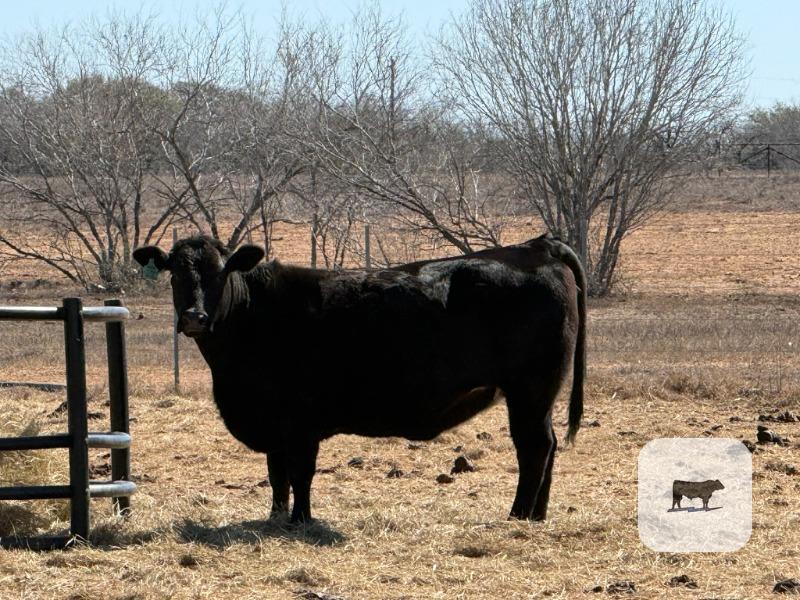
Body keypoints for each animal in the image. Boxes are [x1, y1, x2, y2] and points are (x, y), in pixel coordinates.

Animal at [132, 233, 586, 524]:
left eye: (219, 272)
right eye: (175, 273)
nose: (194, 316)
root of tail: (535, 246)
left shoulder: (300, 421)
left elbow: (300, 473)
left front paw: (300, 520)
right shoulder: (273, 421)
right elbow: (277, 475)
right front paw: (275, 517)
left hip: (529, 389)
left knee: (533, 448)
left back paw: (518, 515)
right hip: (539, 394)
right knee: (548, 445)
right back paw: (537, 515)